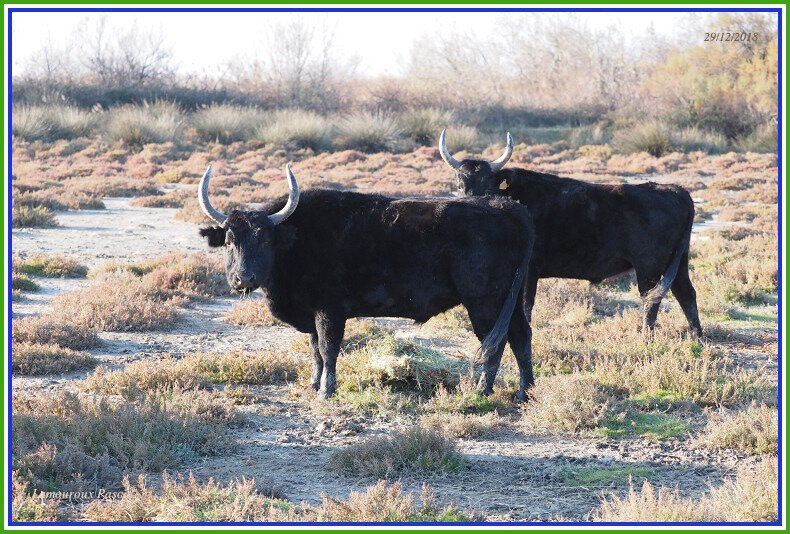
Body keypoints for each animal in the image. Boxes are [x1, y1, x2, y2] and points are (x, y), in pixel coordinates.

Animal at [198, 165, 540, 400]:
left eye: (265, 240)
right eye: (229, 241)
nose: (243, 278)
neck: (298, 237)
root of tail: (508, 207)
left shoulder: (329, 312)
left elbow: (328, 349)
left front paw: (327, 390)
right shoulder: (312, 316)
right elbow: (315, 351)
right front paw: (313, 384)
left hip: (485, 303)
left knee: (496, 342)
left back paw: (483, 391)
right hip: (509, 301)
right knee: (521, 336)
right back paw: (525, 392)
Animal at [440, 130, 704, 348]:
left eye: (487, 184)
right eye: (460, 184)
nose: (473, 202)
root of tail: (676, 190)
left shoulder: (528, 271)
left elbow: (525, 305)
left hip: (649, 267)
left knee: (651, 301)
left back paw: (645, 340)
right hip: (678, 263)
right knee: (686, 295)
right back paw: (698, 340)